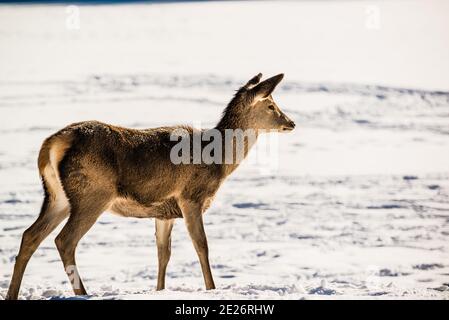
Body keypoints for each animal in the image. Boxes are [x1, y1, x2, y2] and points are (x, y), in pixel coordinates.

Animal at [7, 73, 296, 300]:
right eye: (271, 105)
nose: (291, 122)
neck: (218, 162)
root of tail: (52, 143)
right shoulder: (191, 197)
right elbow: (201, 245)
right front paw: (212, 289)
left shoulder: (165, 212)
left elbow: (162, 254)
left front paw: (160, 290)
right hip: (92, 194)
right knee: (64, 240)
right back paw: (83, 293)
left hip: (57, 197)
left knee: (30, 235)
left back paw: (13, 293)